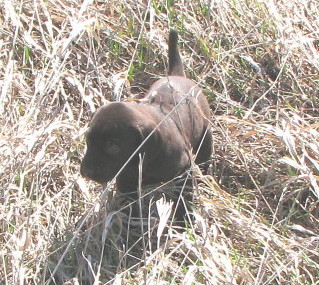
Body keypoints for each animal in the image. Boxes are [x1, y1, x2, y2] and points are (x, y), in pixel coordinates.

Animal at [80, 29, 212, 197]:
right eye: (88, 139)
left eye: (113, 146)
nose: (85, 172)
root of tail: (177, 76)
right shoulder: (126, 180)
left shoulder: (184, 169)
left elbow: (184, 192)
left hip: (205, 131)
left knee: (204, 153)